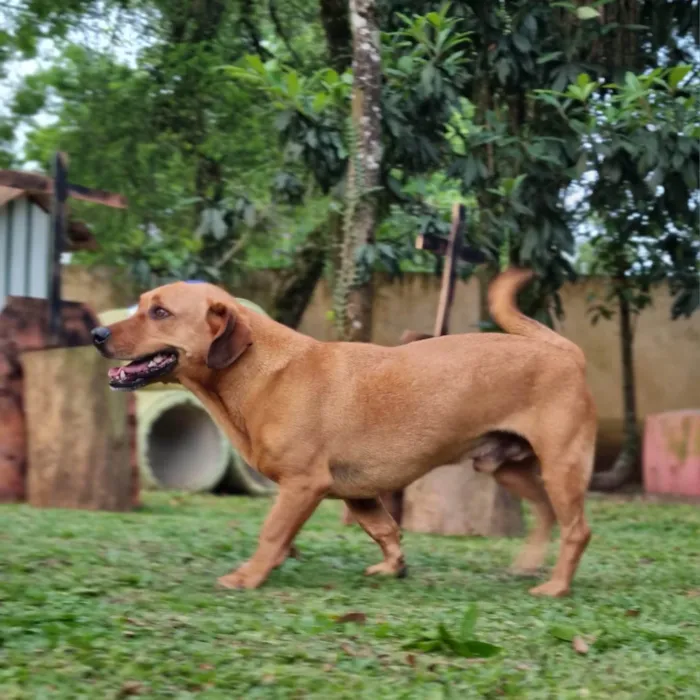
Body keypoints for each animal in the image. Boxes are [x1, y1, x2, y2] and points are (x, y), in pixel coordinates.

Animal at [93, 268, 596, 596]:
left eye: (160, 312)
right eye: (141, 305)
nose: (97, 334)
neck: (263, 370)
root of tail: (566, 352)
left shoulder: (303, 485)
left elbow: (272, 533)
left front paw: (249, 575)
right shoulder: (359, 493)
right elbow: (386, 530)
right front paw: (394, 568)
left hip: (562, 468)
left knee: (577, 530)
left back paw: (556, 586)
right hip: (509, 469)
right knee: (547, 514)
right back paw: (529, 566)